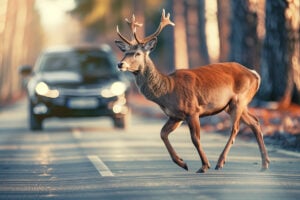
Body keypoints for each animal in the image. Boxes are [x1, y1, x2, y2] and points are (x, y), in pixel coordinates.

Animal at [114, 9, 270, 173]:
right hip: (233, 105)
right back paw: (264, 163)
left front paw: (204, 165)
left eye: (137, 53)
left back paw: (220, 162)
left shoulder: (192, 110)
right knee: (255, 122)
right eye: (125, 52)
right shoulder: (176, 116)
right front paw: (182, 163)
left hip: (239, 99)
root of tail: (254, 74)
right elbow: (162, 133)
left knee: (235, 128)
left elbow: (195, 139)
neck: (167, 90)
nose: (120, 64)